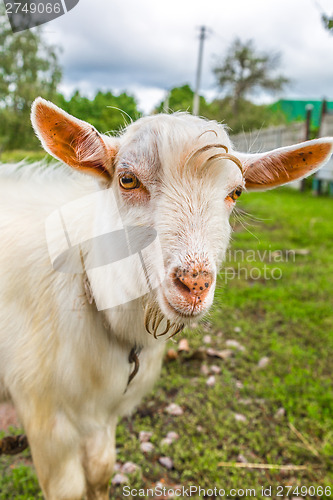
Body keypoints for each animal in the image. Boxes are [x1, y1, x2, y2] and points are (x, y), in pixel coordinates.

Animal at [0, 95, 330, 498]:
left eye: (235, 192)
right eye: (127, 179)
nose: (194, 284)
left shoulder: (104, 412)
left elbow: (101, 471)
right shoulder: (48, 420)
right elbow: (70, 489)